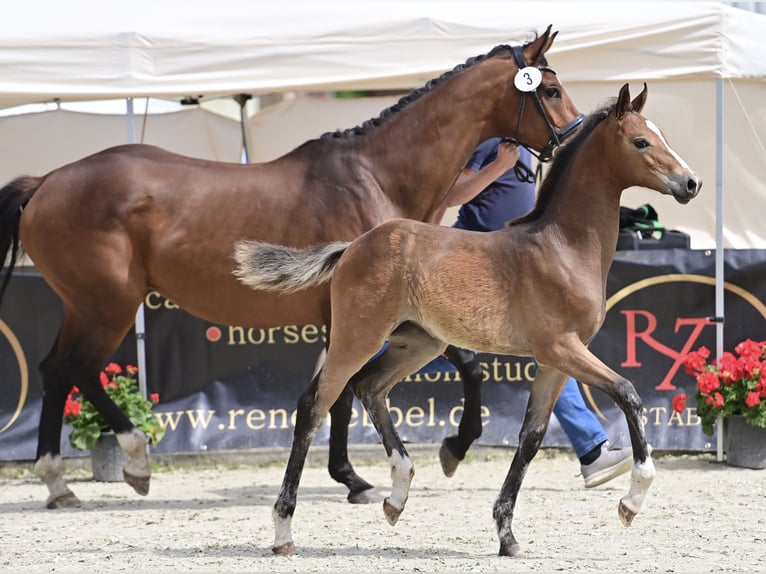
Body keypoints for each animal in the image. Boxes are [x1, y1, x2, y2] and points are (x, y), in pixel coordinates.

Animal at [0, 27, 584, 512]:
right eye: (552, 90)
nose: (576, 137)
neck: (376, 176)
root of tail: (46, 182)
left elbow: (348, 393)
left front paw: (356, 475)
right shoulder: (369, 314)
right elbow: (382, 384)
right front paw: (434, 453)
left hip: (83, 304)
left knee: (55, 370)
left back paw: (58, 484)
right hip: (110, 304)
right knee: (78, 368)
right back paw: (136, 462)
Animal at [234, 84, 704, 560]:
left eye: (662, 136)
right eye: (640, 141)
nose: (691, 183)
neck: (563, 247)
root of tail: (352, 246)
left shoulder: (555, 362)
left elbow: (531, 437)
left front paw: (507, 535)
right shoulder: (561, 347)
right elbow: (628, 393)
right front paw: (631, 502)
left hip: (419, 343)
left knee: (369, 387)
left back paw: (396, 495)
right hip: (357, 337)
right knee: (315, 404)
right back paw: (284, 531)